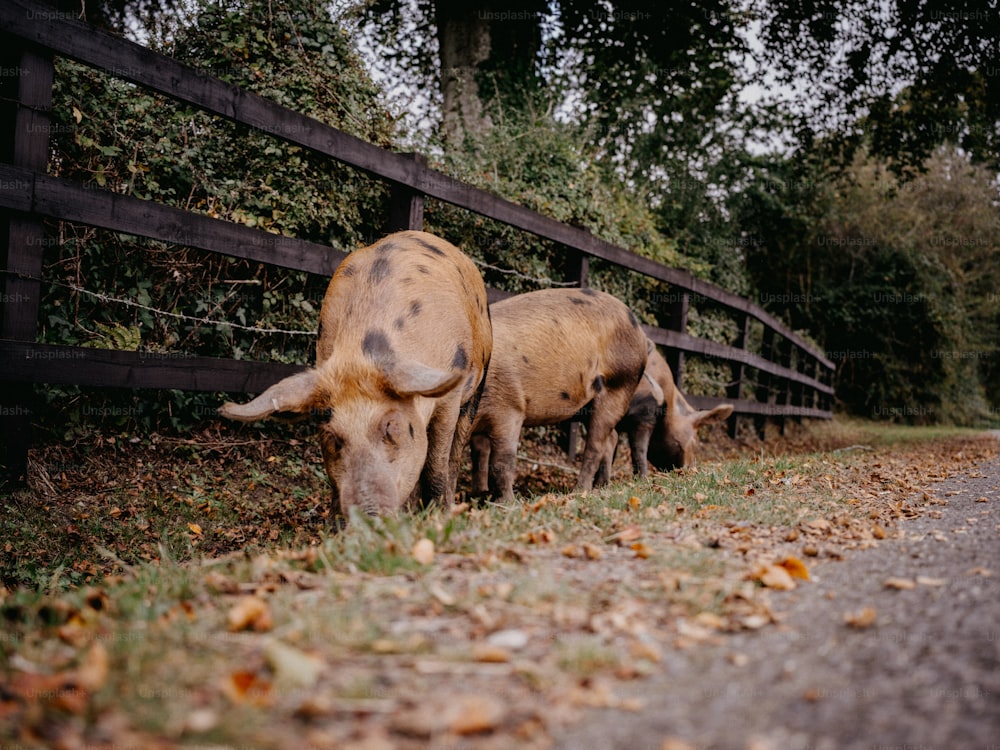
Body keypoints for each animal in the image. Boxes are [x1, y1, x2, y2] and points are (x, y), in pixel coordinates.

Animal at [219, 232, 492, 520]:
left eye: (391, 426)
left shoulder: (449, 397)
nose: (368, 518)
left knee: (455, 454)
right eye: (332, 436)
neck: (358, 355)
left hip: (477, 385)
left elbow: (435, 467)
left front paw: (438, 518)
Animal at [468, 288, 648, 506]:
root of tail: (639, 330)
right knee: (611, 438)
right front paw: (478, 496)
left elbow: (501, 458)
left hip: (618, 385)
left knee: (595, 445)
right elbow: (479, 453)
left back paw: (579, 491)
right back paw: (601, 486)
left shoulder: (508, 407)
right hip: (588, 406)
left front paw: (504, 503)